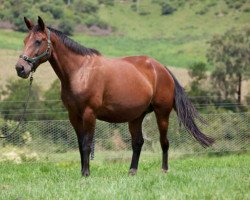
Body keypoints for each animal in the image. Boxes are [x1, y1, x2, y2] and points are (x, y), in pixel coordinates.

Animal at [15, 17, 215, 177]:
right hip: (136, 117)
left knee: (164, 142)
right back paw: (132, 171)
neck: (80, 72)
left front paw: (86, 174)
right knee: (138, 143)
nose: (20, 68)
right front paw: (82, 172)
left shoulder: (89, 114)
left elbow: (87, 144)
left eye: (38, 41)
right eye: (25, 40)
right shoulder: (74, 116)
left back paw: (164, 170)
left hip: (162, 113)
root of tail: (161, 68)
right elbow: (80, 144)